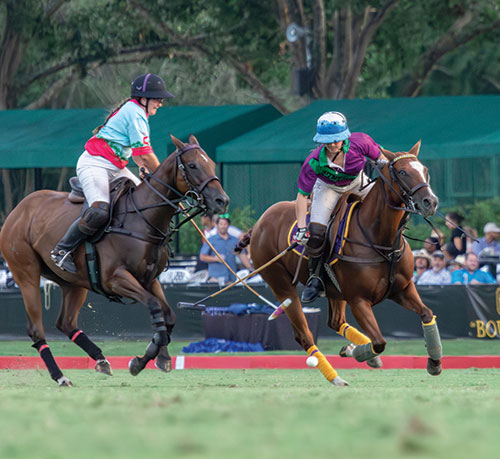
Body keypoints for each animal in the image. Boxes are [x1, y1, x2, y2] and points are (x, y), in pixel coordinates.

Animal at [0, 135, 229, 386]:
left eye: (211, 164)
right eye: (193, 165)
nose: (222, 200)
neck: (144, 220)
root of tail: (17, 210)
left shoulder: (150, 279)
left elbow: (168, 315)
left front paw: (159, 358)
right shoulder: (115, 279)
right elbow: (154, 306)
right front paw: (140, 360)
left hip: (73, 282)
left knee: (66, 322)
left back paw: (101, 360)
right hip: (26, 273)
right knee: (36, 329)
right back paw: (60, 376)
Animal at [246, 142, 442, 386]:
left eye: (425, 170)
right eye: (403, 172)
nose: (430, 202)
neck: (381, 238)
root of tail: (259, 223)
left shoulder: (403, 289)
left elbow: (427, 313)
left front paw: (434, 362)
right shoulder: (359, 299)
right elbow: (379, 342)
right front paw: (359, 353)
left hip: (334, 291)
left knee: (335, 321)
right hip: (281, 285)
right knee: (304, 334)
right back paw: (336, 377)